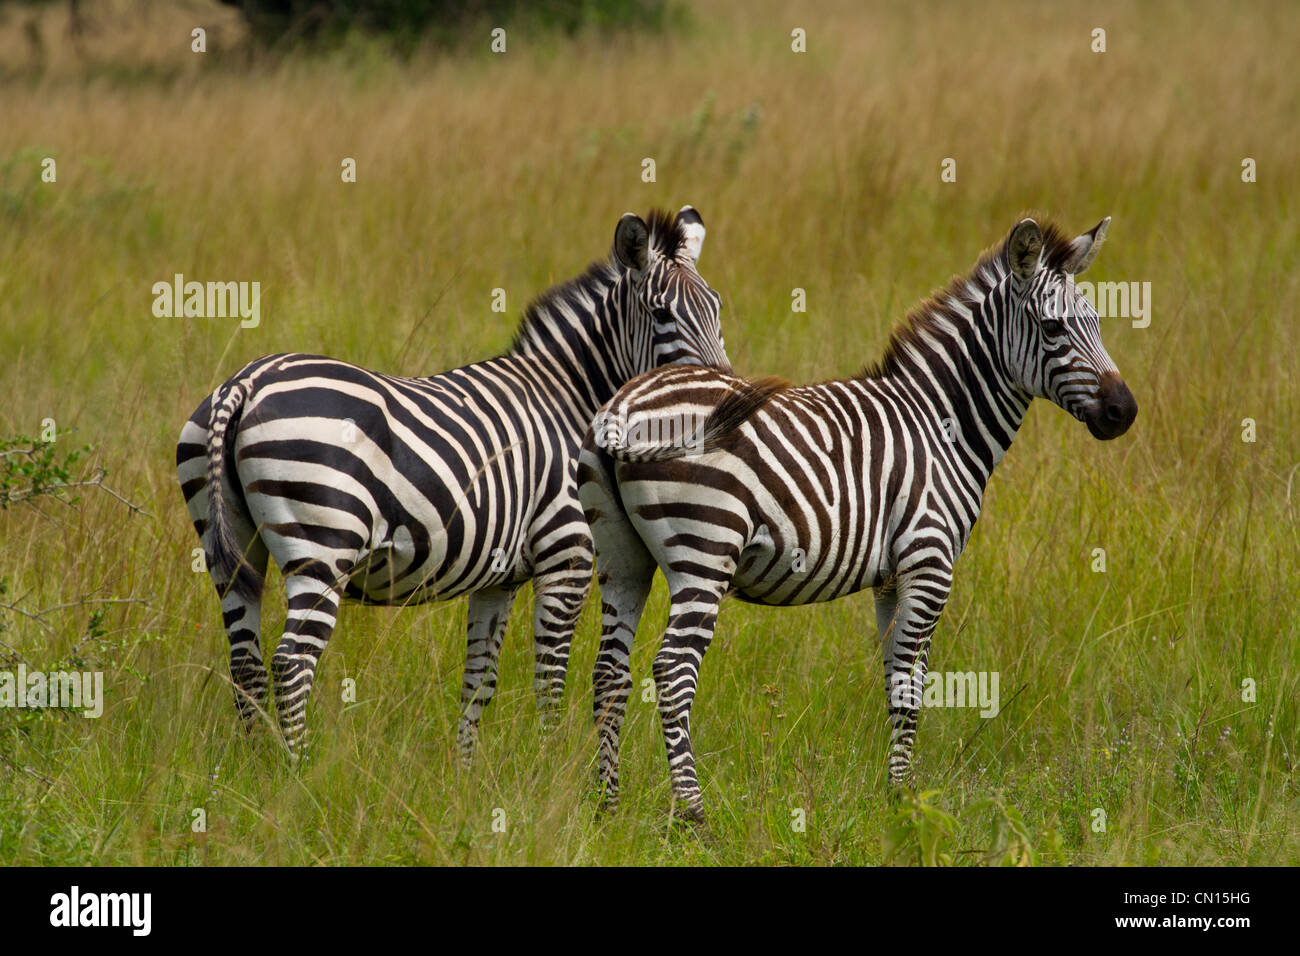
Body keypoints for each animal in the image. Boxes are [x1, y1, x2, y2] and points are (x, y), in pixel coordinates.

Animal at [175, 208, 733, 754]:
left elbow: (479, 682)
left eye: (718, 309)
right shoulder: (567, 555)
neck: (569, 399)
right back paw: (297, 769)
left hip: (232, 548)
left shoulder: (498, 579)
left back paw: (258, 767)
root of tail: (247, 382)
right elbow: (549, 682)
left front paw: (467, 771)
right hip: (324, 545)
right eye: (661, 314)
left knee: (245, 663)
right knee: (291, 663)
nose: (724, 399)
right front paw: (550, 767)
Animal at [579, 217, 1138, 822]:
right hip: (705, 552)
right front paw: (905, 804)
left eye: (1098, 322)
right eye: (1053, 328)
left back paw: (607, 808)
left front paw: (898, 797)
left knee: (609, 673)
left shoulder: (892, 579)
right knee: (672, 673)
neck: (941, 422)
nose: (1124, 412)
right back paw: (693, 815)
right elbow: (910, 689)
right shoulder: (929, 562)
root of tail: (621, 408)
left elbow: (897, 680)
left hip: (623, 558)